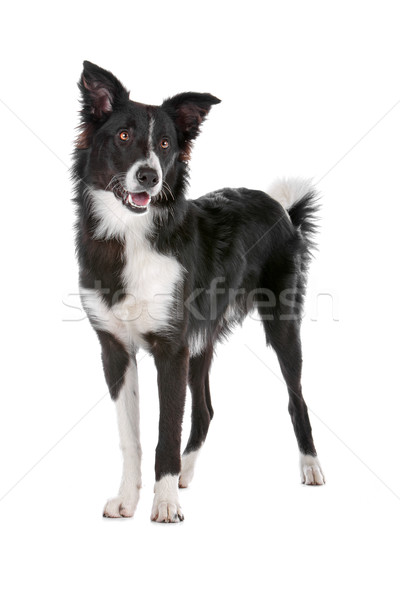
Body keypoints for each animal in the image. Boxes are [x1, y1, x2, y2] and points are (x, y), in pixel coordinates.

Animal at [72, 59, 324, 520]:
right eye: (123, 136)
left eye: (166, 143)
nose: (149, 176)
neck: (133, 234)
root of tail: (283, 210)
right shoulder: (115, 348)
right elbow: (131, 435)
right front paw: (130, 497)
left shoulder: (171, 348)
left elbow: (166, 429)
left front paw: (165, 503)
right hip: (201, 338)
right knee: (205, 410)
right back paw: (186, 473)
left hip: (282, 325)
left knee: (296, 398)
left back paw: (311, 465)